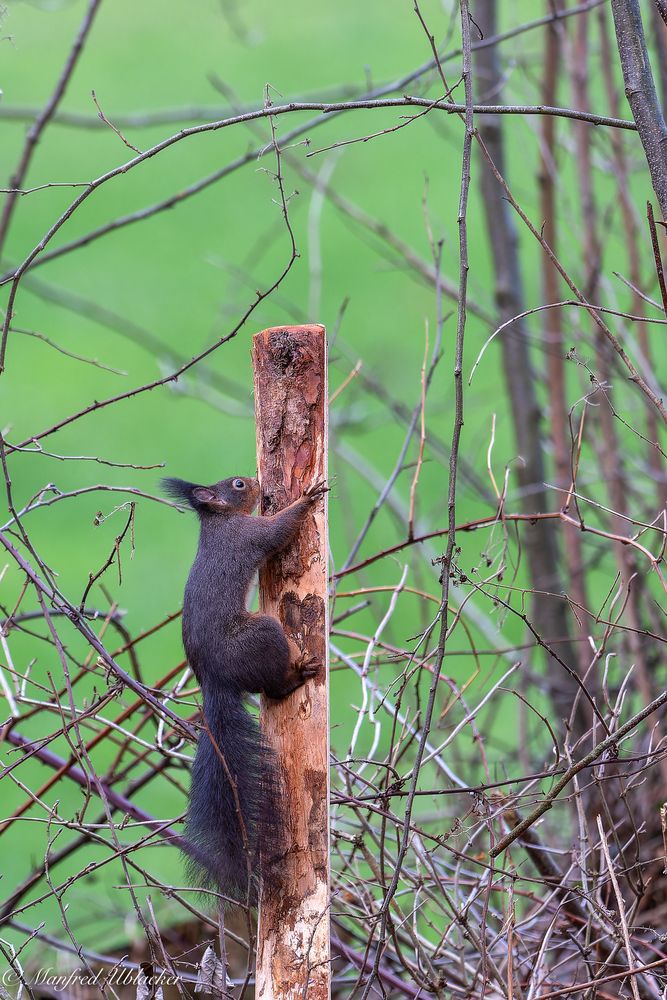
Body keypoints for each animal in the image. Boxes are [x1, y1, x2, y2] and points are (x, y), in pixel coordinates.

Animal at [163, 472, 328, 904]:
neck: (217, 521)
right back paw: (296, 675)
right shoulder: (249, 535)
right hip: (264, 635)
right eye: (237, 485)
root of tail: (214, 681)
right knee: (277, 686)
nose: (255, 481)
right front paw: (307, 498)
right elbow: (278, 531)